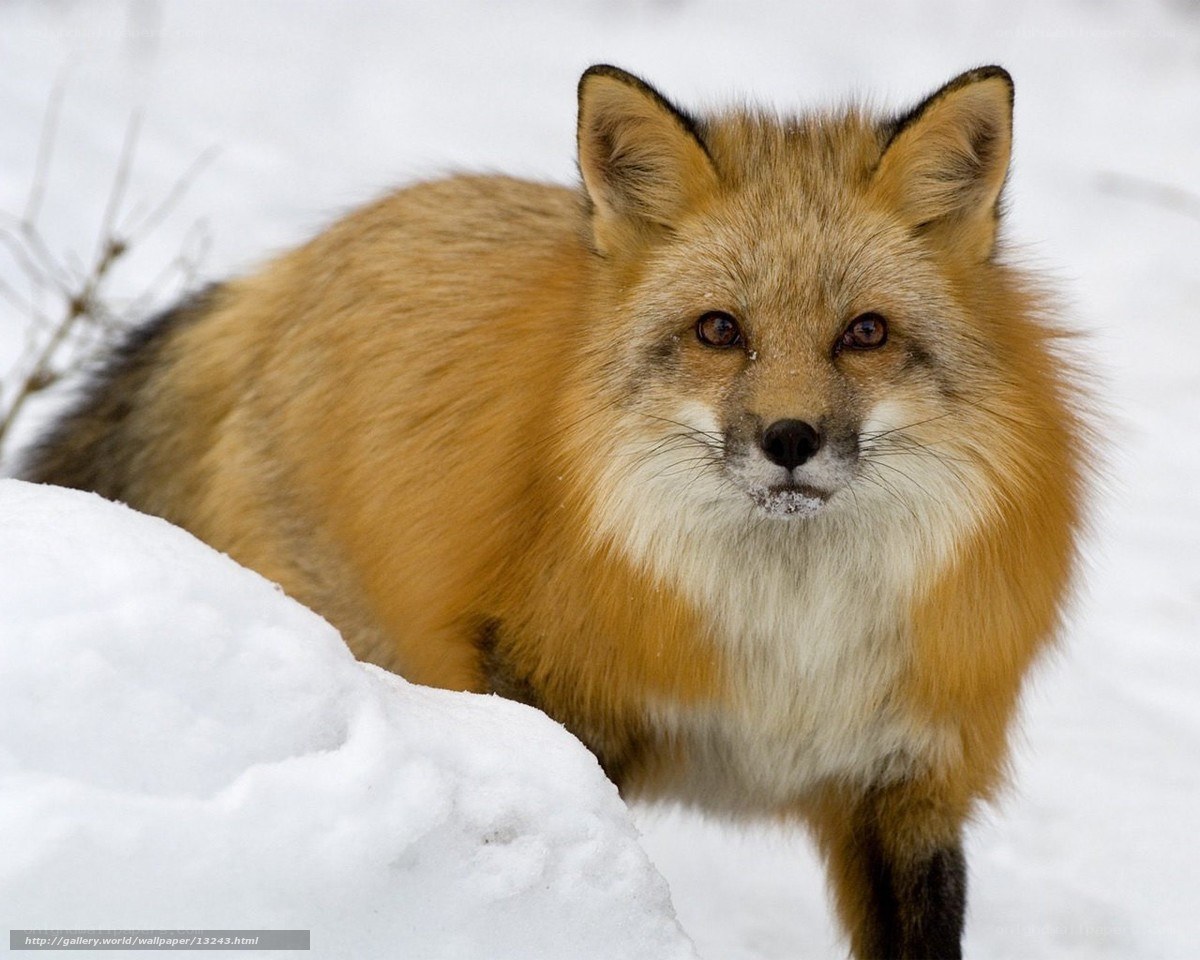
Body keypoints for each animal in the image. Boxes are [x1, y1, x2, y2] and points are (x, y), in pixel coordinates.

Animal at [21, 64, 1085, 958]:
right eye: (720, 331)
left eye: (865, 333)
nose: (790, 438)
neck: (789, 642)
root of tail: (292, 265)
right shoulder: (554, 694)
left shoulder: (906, 781)